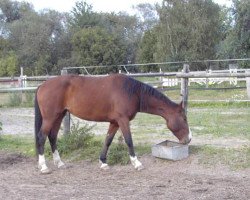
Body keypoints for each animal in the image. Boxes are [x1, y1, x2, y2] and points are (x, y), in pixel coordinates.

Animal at [34, 73, 191, 173]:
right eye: (184, 118)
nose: (188, 139)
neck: (132, 92)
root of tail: (42, 85)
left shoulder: (115, 122)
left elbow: (108, 140)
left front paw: (103, 162)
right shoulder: (123, 120)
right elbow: (129, 140)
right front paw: (137, 163)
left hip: (59, 116)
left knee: (52, 137)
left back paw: (60, 163)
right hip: (50, 118)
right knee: (42, 137)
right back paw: (44, 166)